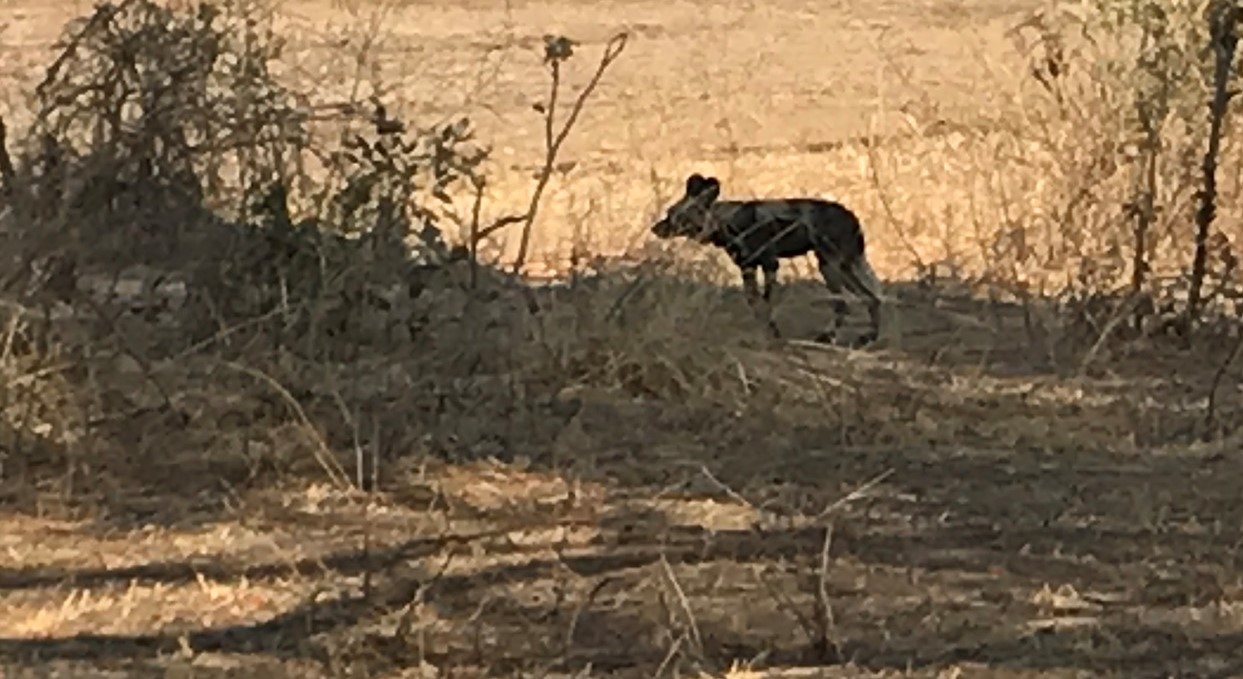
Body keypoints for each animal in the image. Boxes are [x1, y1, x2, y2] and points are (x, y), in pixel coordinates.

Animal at [651, 171, 885, 345]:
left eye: (673, 215)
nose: (654, 228)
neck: (727, 222)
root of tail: (852, 216)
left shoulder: (770, 264)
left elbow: (766, 302)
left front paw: (773, 335)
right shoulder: (748, 268)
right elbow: (755, 304)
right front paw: (764, 334)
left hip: (835, 266)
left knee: (862, 299)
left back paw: (860, 338)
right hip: (831, 267)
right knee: (857, 300)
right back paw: (847, 337)